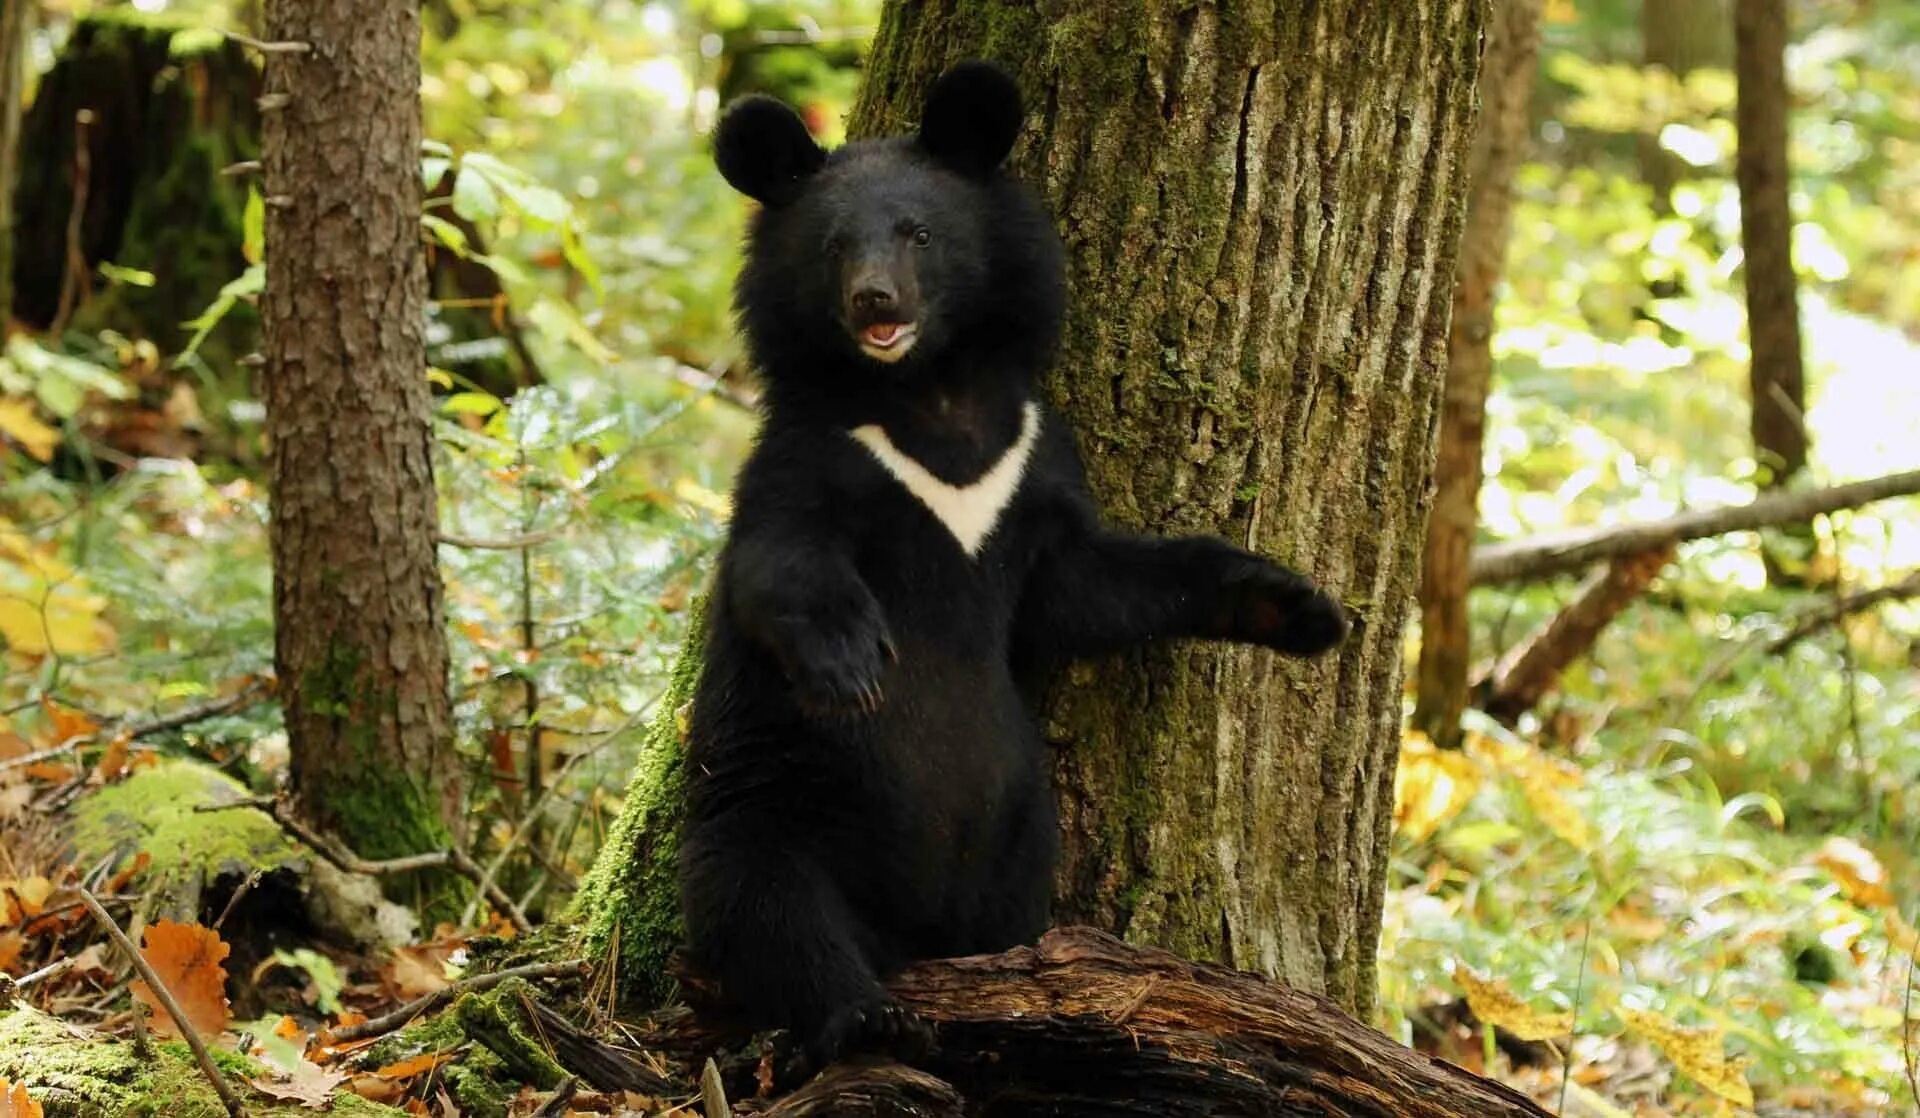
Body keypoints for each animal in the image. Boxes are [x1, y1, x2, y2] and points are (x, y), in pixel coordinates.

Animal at [675, 59, 1351, 1075]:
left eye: (919, 233)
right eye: (833, 245)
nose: (876, 301)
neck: (930, 397)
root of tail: (916, 926)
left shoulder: (1031, 464)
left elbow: (1089, 587)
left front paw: (1301, 610)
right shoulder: (812, 454)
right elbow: (777, 562)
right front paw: (852, 669)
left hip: (1022, 832)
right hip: (773, 800)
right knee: (769, 912)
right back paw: (870, 1017)